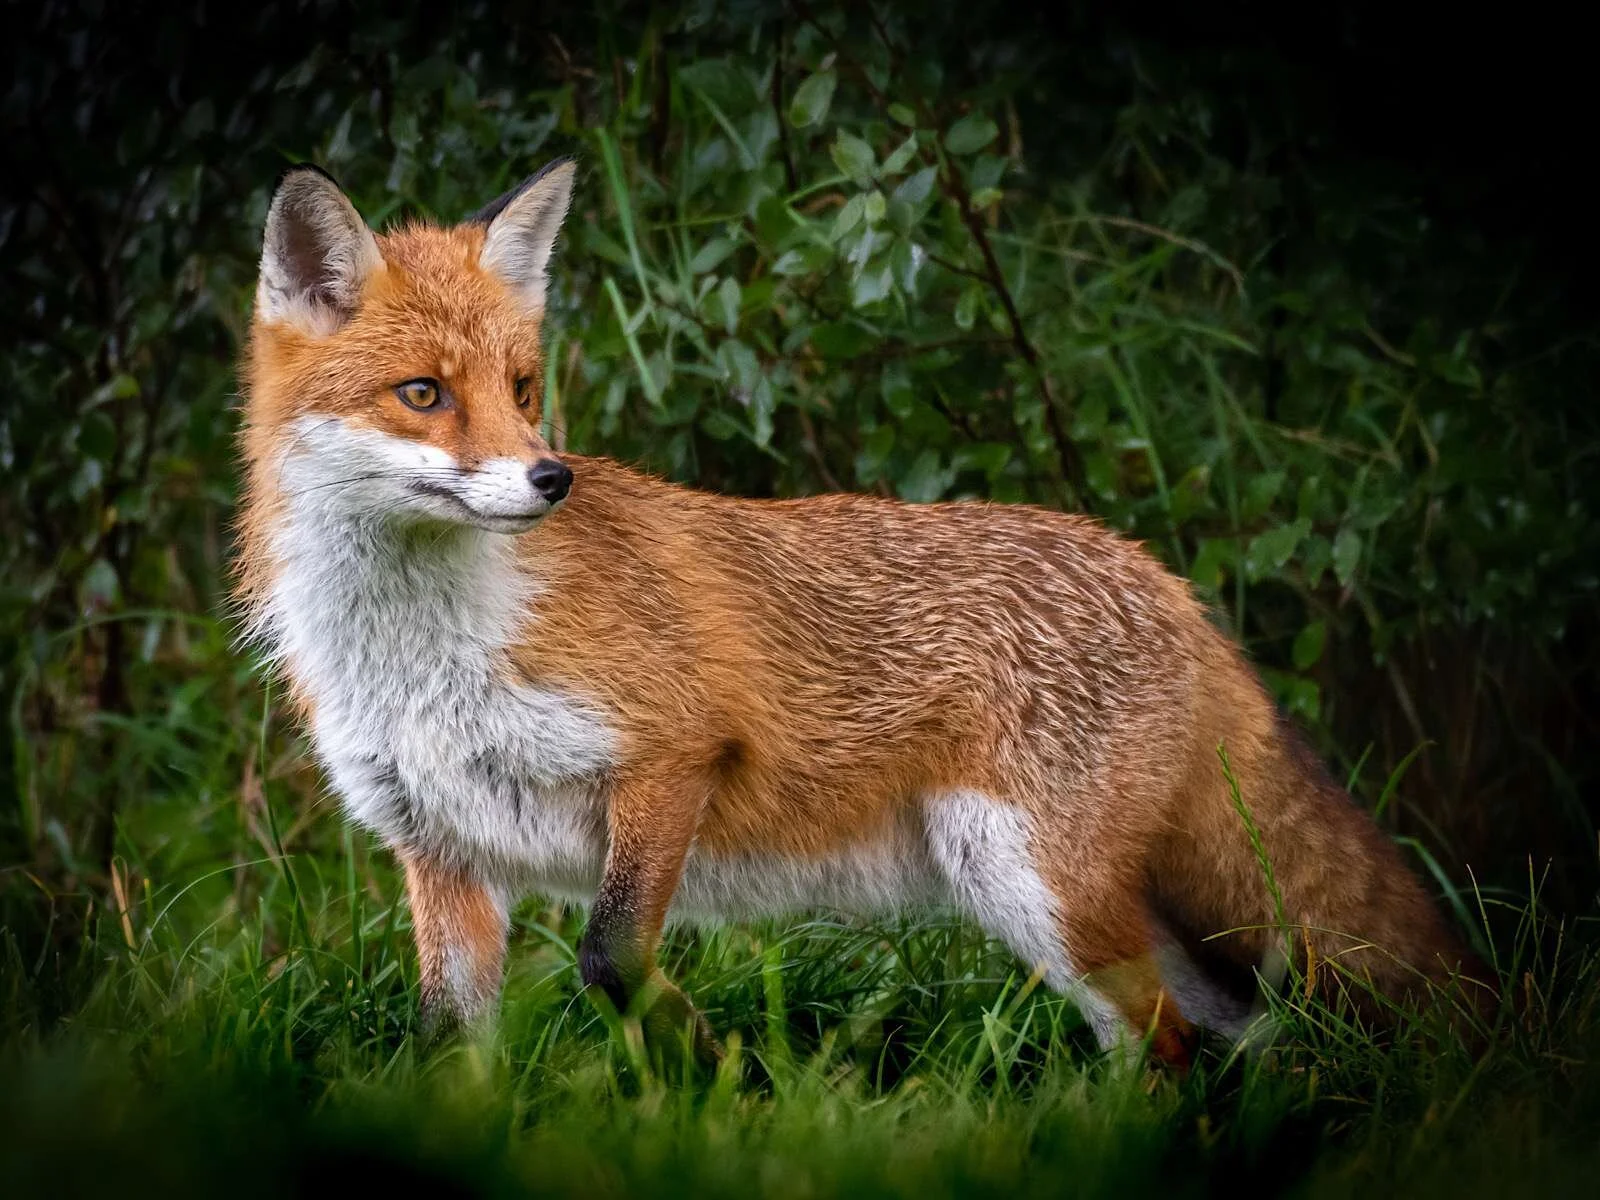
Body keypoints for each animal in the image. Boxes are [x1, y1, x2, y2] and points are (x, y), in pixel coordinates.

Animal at [234, 157, 1492, 1071]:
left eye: (522, 388)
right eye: (423, 394)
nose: (552, 480)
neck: (421, 654)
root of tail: (1164, 579)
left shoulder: (673, 756)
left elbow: (610, 963)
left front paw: (727, 1086)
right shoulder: (439, 852)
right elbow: (451, 1051)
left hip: (1035, 885)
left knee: (1171, 1046)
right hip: (1100, 912)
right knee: (1229, 1038)